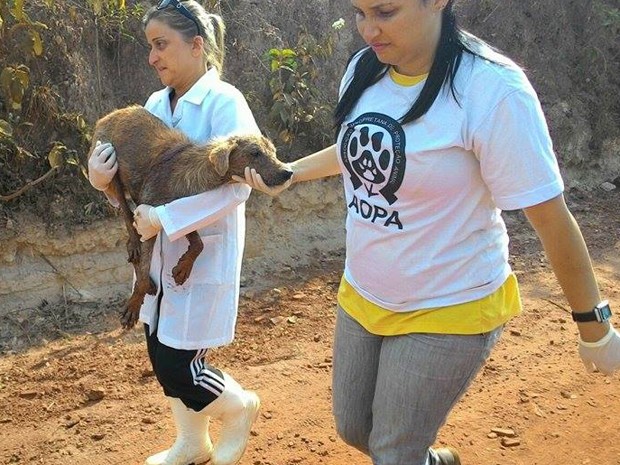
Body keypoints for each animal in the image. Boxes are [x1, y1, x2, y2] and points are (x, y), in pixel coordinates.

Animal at [89, 105, 294, 330]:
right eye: (255, 153)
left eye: (273, 152)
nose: (289, 172)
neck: (195, 173)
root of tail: (107, 116)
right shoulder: (149, 212)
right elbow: (143, 271)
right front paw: (134, 305)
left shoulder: (178, 214)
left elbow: (198, 242)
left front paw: (183, 268)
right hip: (110, 169)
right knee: (126, 216)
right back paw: (136, 249)